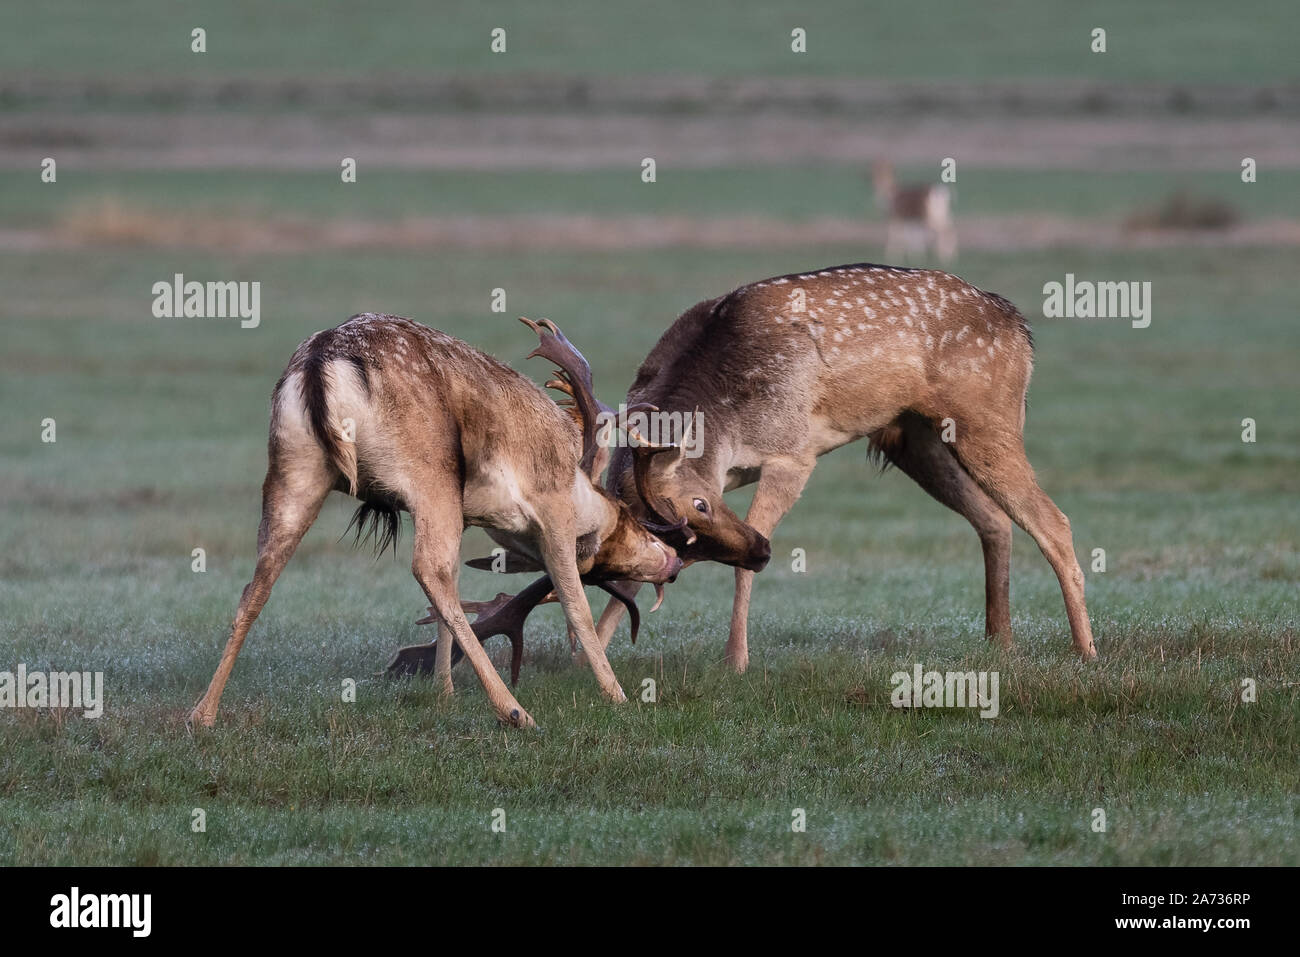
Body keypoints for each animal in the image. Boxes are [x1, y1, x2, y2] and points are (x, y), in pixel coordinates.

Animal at [189, 310, 691, 728]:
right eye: (628, 518)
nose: (672, 561)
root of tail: (320, 360)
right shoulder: (551, 512)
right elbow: (575, 604)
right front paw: (617, 695)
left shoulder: (467, 515)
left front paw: (444, 693)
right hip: (429, 477)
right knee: (427, 567)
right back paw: (515, 712)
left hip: (293, 472)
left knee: (258, 583)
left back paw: (203, 714)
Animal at [595, 257, 1097, 670]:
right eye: (680, 540)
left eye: (700, 506)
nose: (761, 553)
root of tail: (1020, 327)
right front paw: (591, 655)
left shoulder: (792, 452)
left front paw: (735, 661)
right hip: (915, 439)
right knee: (994, 519)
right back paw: (1001, 642)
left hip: (987, 417)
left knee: (1054, 522)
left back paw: (1085, 650)